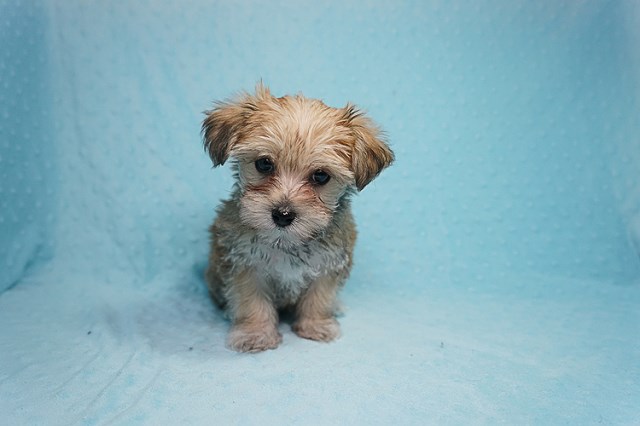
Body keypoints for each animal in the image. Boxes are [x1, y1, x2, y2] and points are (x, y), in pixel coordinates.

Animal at [202, 84, 392, 352]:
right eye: (264, 164)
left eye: (321, 176)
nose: (283, 214)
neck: (287, 241)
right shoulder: (244, 264)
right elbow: (251, 301)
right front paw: (255, 333)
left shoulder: (329, 263)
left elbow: (319, 297)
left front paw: (316, 325)